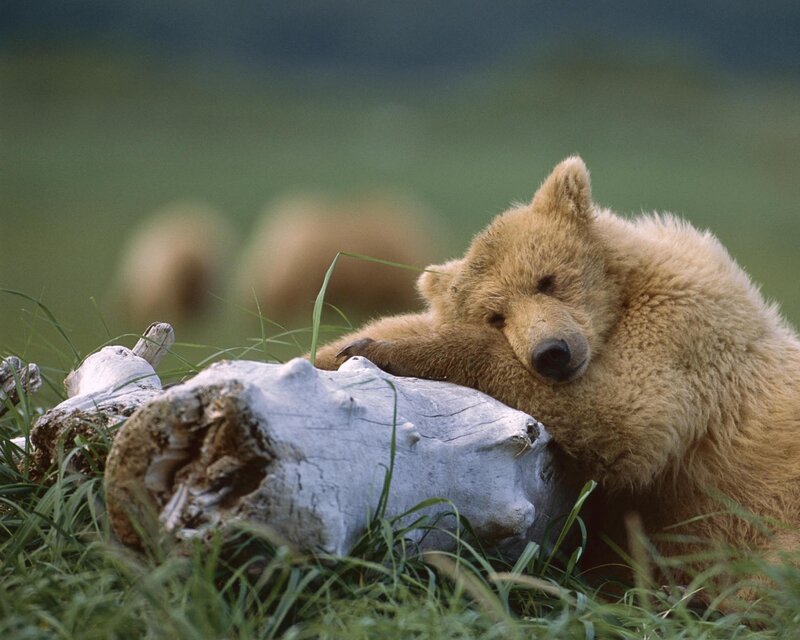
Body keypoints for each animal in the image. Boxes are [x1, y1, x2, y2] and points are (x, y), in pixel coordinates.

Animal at [315, 157, 800, 587]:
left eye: (546, 279)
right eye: (496, 315)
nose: (551, 353)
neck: (620, 301)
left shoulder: (685, 327)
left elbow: (623, 414)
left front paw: (389, 351)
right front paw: (340, 349)